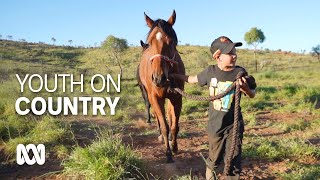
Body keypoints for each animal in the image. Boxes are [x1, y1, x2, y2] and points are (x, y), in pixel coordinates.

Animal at [137, 10, 185, 163]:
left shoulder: (177, 98)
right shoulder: (156, 98)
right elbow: (164, 126)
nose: (158, 78)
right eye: (150, 42)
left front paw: (174, 147)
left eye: (171, 41)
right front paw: (168, 153)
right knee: (158, 117)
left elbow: (174, 125)